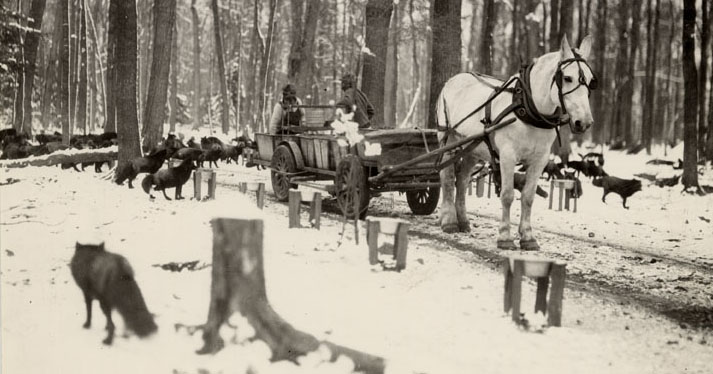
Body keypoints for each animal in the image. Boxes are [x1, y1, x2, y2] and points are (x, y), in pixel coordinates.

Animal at [434, 35, 596, 251]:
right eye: (568, 78)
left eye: (591, 81)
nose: (584, 122)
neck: (528, 108)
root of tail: (452, 80)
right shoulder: (507, 156)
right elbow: (508, 195)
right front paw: (505, 237)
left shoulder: (540, 159)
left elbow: (528, 196)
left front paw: (527, 237)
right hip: (448, 140)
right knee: (447, 176)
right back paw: (449, 221)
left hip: (473, 149)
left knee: (461, 180)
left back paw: (463, 221)